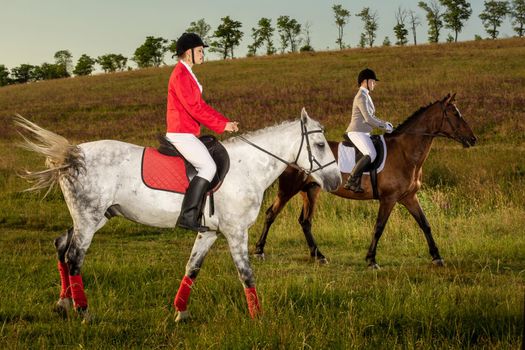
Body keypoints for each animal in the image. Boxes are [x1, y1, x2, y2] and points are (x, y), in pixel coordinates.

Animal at [15, 110, 340, 322]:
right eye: (320, 145)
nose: (336, 181)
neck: (248, 167)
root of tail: (72, 155)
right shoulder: (236, 232)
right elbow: (246, 273)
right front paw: (258, 318)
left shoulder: (209, 232)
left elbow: (192, 268)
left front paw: (181, 312)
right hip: (89, 218)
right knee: (74, 257)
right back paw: (83, 311)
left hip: (94, 217)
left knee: (60, 246)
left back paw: (62, 304)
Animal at [256, 93, 476, 268]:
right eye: (455, 114)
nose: (473, 139)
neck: (405, 152)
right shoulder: (389, 198)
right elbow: (379, 227)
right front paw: (371, 260)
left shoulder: (409, 197)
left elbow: (425, 224)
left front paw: (437, 257)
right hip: (289, 188)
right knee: (271, 214)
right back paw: (259, 251)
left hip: (310, 190)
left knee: (305, 221)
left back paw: (319, 256)